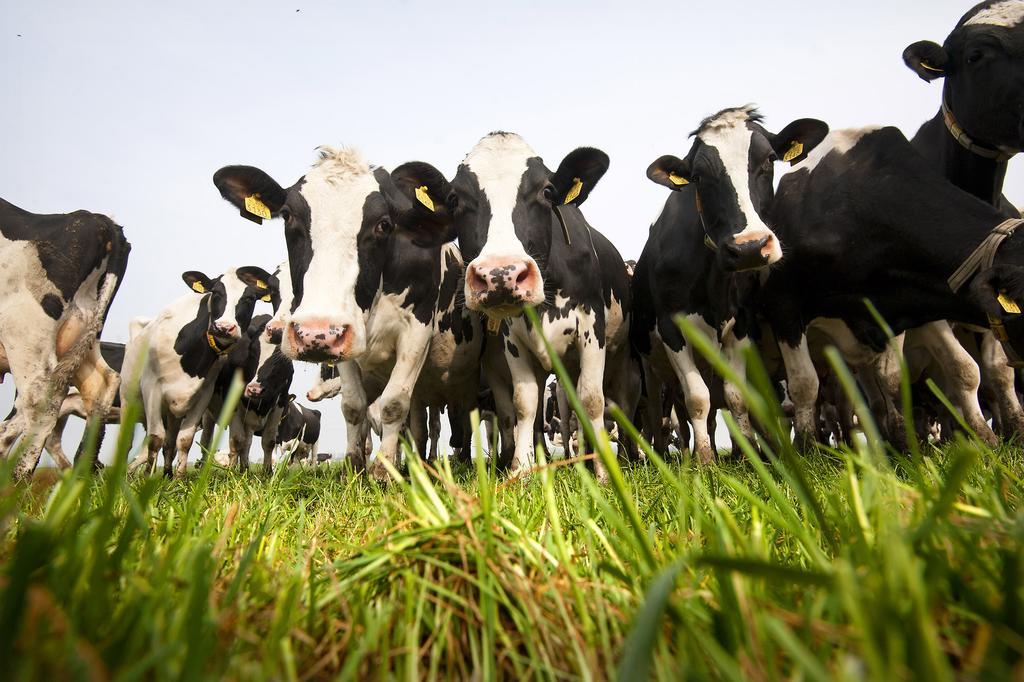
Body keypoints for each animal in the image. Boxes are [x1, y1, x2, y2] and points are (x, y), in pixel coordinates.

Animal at [121, 262, 278, 475]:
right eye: (216, 293)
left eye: (249, 298)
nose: (224, 327)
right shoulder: (151, 387)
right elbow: (155, 438)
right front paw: (147, 477)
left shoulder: (203, 394)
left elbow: (184, 440)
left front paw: (179, 477)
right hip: (127, 399)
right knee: (128, 441)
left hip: (174, 411)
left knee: (170, 442)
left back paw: (167, 473)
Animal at [214, 148, 462, 477]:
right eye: (288, 215)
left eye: (384, 223)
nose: (314, 332)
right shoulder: (344, 343)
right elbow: (353, 406)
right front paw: (355, 469)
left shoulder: (416, 330)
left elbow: (395, 404)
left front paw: (384, 472)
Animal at [387, 130, 634, 475]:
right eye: (455, 200)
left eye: (547, 191)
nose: (500, 274)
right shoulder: (512, 337)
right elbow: (524, 402)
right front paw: (521, 468)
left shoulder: (591, 327)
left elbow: (591, 399)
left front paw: (603, 472)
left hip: (621, 354)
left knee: (620, 402)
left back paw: (625, 456)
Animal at [630, 107, 831, 456]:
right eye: (698, 176)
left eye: (769, 160)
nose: (749, 247)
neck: (715, 283)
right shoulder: (671, 328)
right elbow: (697, 399)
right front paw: (705, 460)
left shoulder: (740, 325)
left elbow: (736, 396)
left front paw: (748, 454)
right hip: (649, 361)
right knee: (658, 412)